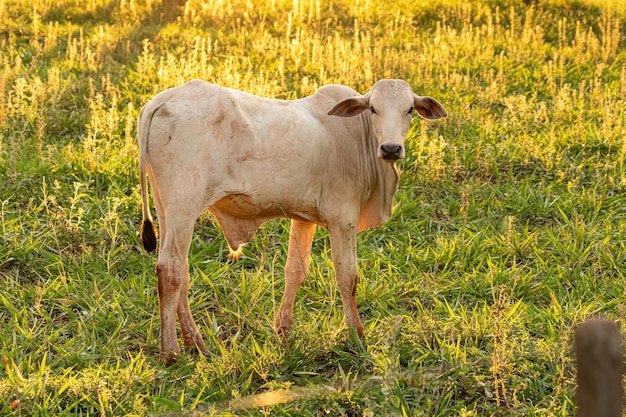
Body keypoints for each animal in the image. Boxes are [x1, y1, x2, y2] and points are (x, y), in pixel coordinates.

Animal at [139, 79, 446, 360]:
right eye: (373, 108)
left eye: (409, 109)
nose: (391, 149)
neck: (357, 135)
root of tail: (163, 99)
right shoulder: (342, 218)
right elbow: (348, 276)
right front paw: (357, 335)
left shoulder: (303, 219)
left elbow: (295, 271)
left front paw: (284, 331)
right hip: (184, 205)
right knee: (170, 269)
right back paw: (170, 352)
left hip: (167, 209)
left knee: (181, 270)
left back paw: (196, 343)